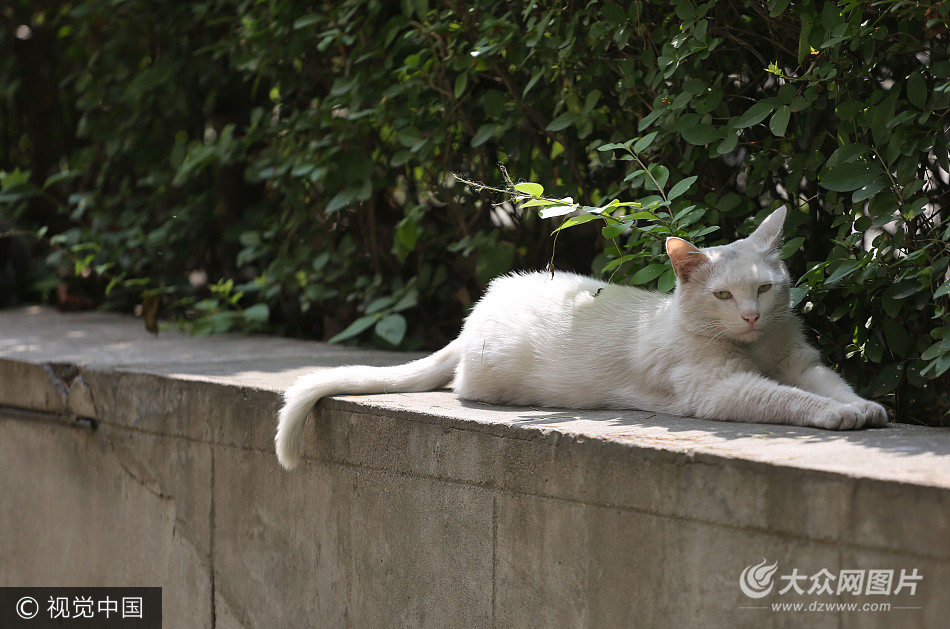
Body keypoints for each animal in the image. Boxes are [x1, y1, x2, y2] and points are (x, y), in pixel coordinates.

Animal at [278, 209, 892, 468]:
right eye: (722, 296)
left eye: (764, 288)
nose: (749, 316)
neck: (756, 349)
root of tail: (479, 308)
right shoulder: (721, 389)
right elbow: (789, 398)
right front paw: (838, 417)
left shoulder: (800, 361)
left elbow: (827, 384)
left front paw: (863, 407)